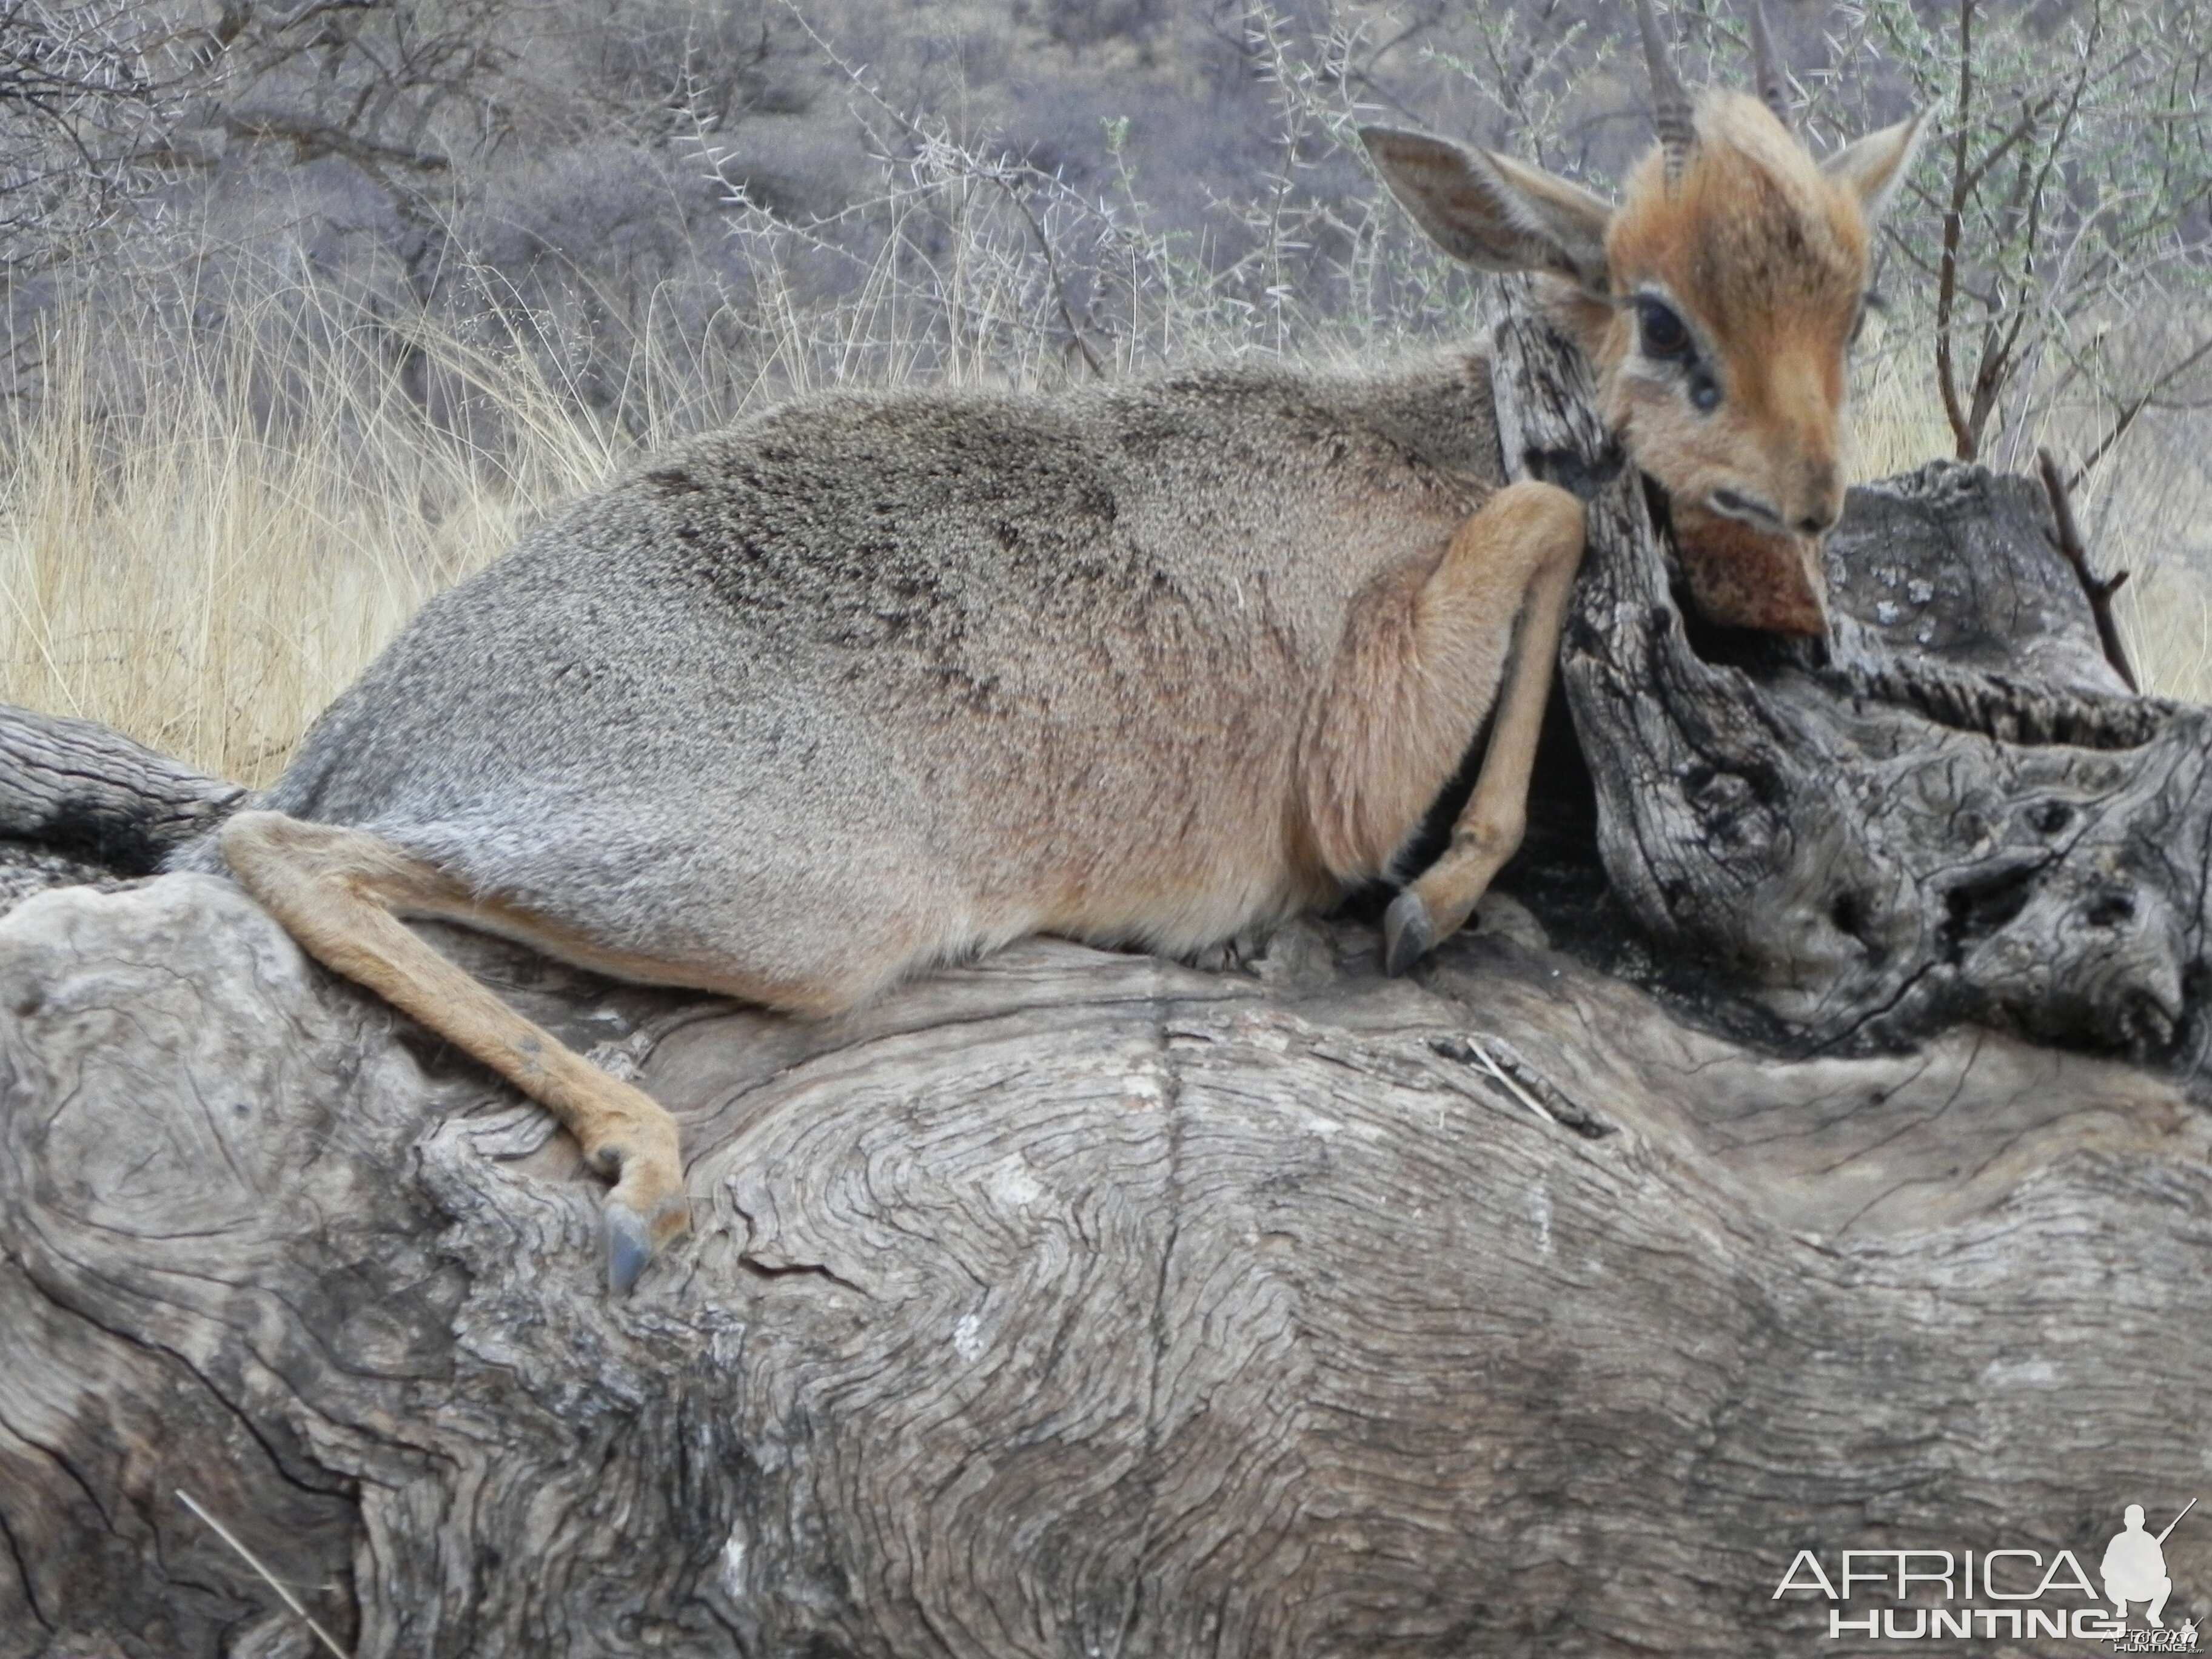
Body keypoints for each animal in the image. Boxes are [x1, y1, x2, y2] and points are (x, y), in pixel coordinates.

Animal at [199, 0, 1920, 1292]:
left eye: (1854, 305)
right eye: (1664, 316)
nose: (1815, 497)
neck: (1429, 430)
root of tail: (370, 723)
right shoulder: (1356, 758)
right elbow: (1549, 519)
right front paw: (1440, 889)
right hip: (791, 902)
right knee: (282, 849)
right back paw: (644, 1165)